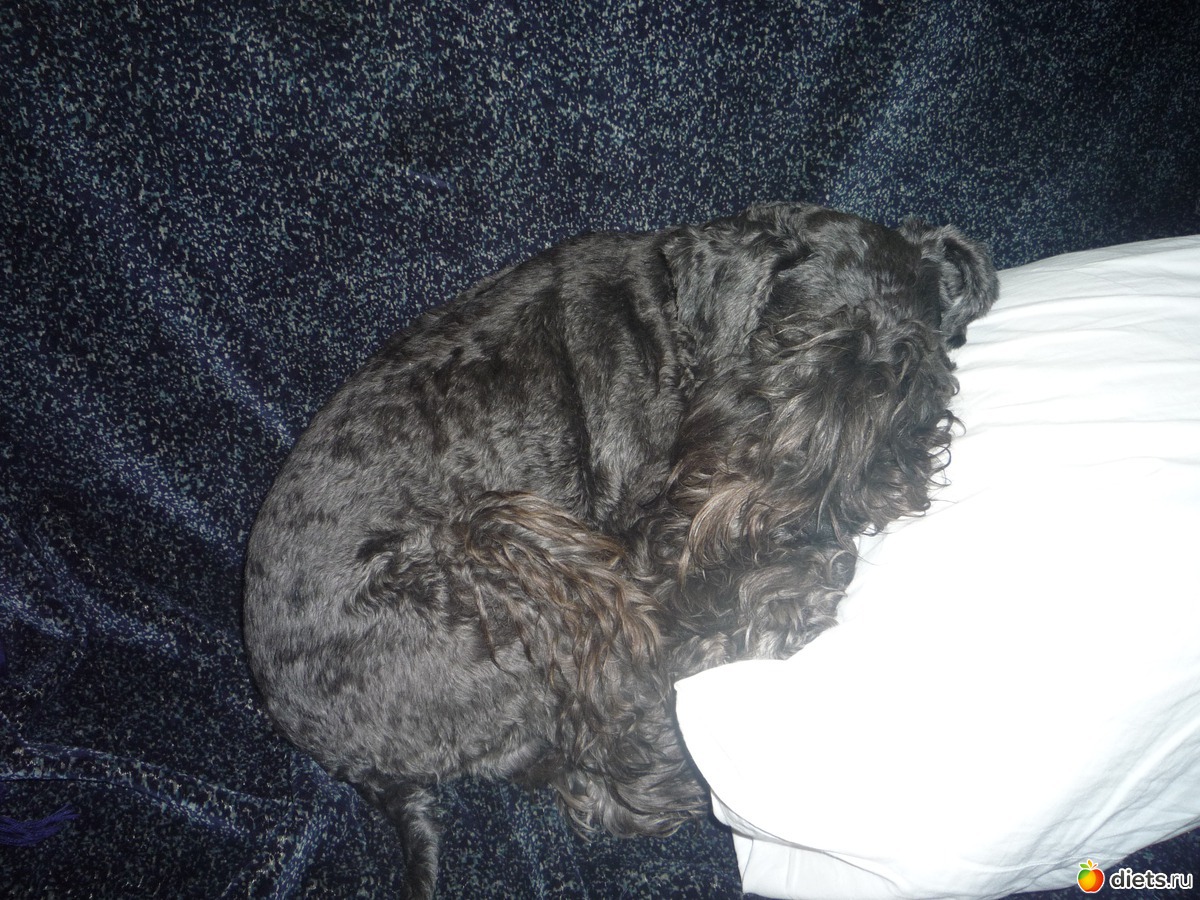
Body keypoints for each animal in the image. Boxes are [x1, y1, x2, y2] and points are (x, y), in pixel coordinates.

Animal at [243, 202, 997, 898]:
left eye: (923, 383)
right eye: (791, 353)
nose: (826, 510)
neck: (676, 326)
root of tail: (356, 766)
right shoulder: (648, 543)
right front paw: (787, 593)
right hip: (500, 545)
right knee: (626, 746)